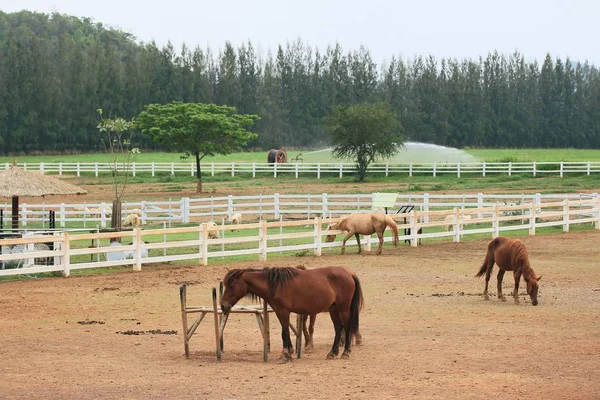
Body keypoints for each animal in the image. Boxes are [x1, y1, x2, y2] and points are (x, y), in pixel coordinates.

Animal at [219, 266, 360, 362]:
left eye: (231, 286)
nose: (223, 305)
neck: (274, 285)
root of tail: (349, 273)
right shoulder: (279, 312)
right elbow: (284, 331)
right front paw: (289, 352)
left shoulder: (284, 311)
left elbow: (285, 332)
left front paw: (285, 354)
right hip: (333, 310)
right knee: (338, 328)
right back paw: (332, 353)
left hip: (343, 309)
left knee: (347, 328)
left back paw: (346, 352)